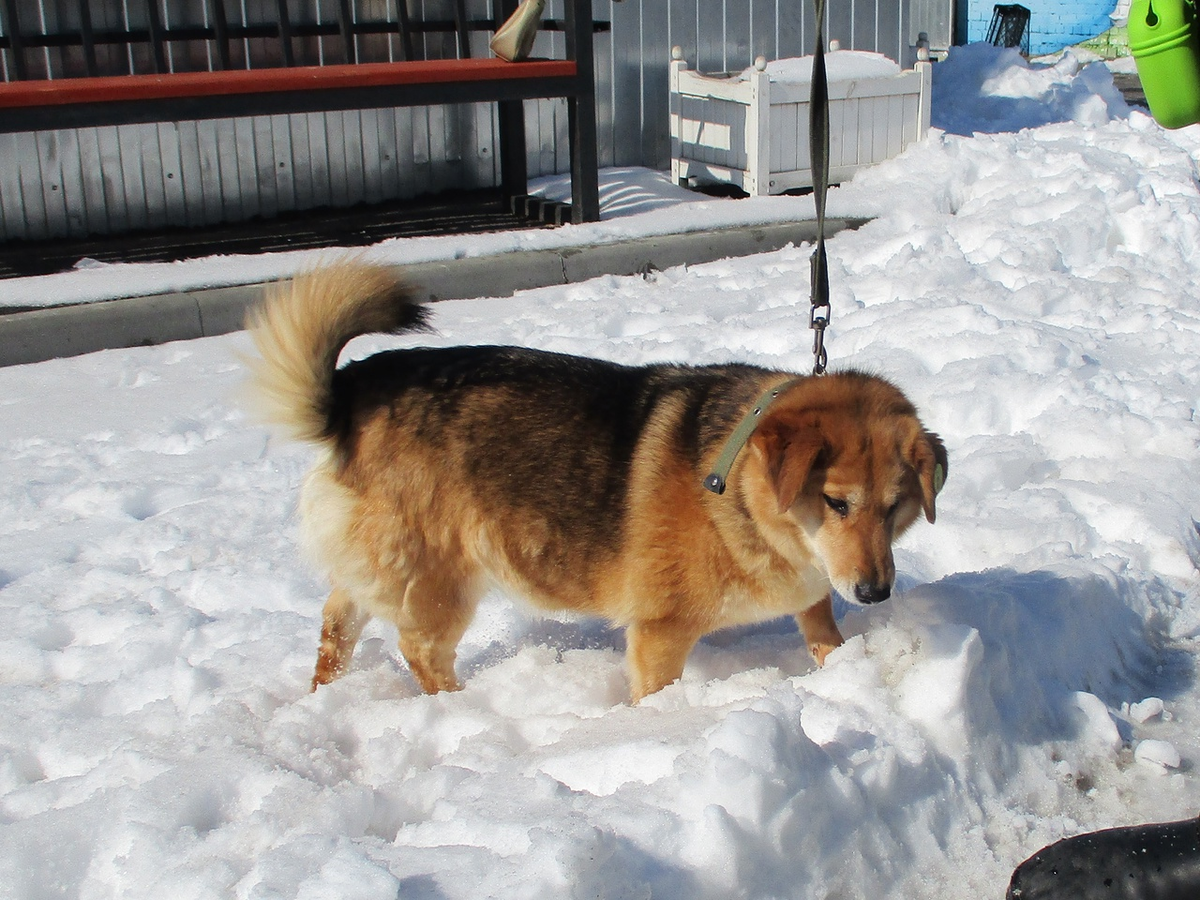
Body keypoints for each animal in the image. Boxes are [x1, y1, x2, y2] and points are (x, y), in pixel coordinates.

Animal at [248, 260, 945, 705]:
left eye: (896, 508)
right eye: (835, 502)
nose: (876, 593)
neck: (744, 493)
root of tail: (348, 393)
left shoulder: (815, 592)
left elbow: (824, 631)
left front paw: (845, 673)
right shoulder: (661, 632)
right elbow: (653, 691)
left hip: (378, 565)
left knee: (336, 623)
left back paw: (323, 695)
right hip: (440, 577)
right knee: (420, 649)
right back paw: (461, 709)